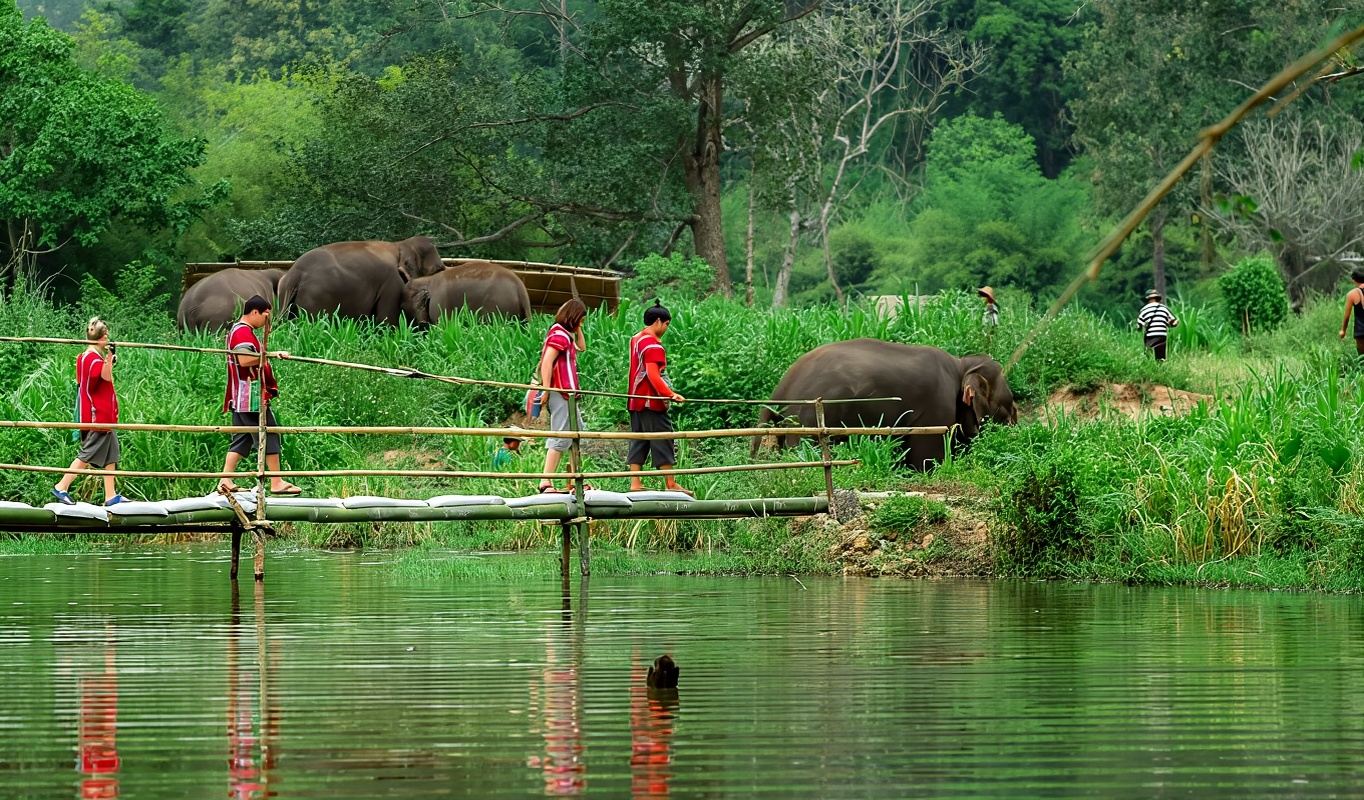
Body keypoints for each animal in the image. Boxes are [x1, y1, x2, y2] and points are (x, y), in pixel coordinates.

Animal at [275, 236, 446, 324]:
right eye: (437, 270)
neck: (400, 244)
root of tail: (294, 275)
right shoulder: (391, 283)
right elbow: (386, 318)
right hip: (316, 299)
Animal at [752, 339, 1018, 470]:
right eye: (1009, 408)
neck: (961, 364)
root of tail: (780, 389)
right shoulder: (936, 408)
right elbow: (927, 457)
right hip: (807, 418)